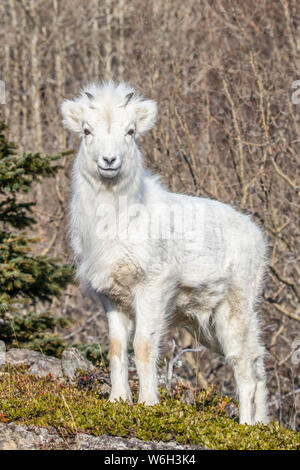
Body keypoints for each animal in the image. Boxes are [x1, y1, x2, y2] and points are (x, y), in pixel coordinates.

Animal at [62, 81, 268, 426]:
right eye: (87, 131)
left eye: (130, 131)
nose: (109, 160)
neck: (112, 224)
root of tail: (257, 237)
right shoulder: (112, 298)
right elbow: (116, 348)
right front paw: (118, 401)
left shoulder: (152, 287)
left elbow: (144, 346)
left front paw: (147, 404)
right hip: (208, 323)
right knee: (257, 360)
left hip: (235, 308)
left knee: (245, 366)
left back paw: (247, 426)